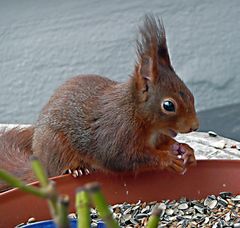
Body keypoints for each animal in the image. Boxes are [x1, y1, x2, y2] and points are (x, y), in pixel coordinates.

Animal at [0, 15, 199, 191]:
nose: (195, 126)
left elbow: (164, 144)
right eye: (168, 105)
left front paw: (184, 149)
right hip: (56, 145)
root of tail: (41, 164)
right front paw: (167, 159)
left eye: (191, 94)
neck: (136, 112)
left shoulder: (156, 137)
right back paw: (76, 169)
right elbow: (125, 158)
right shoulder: (117, 133)